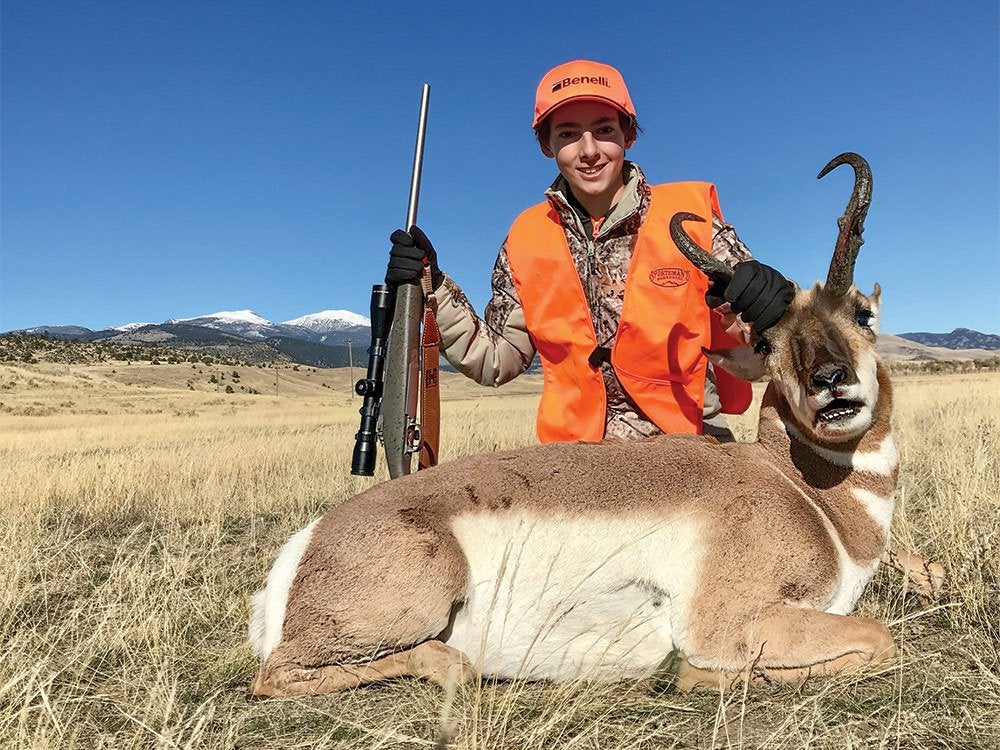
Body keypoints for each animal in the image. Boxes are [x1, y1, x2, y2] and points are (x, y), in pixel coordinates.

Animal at [249, 153, 904, 697]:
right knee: (277, 676)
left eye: (862, 315)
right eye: (769, 344)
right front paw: (695, 674)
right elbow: (881, 638)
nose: (831, 382)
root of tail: (304, 547)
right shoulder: (727, 623)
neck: (805, 495)